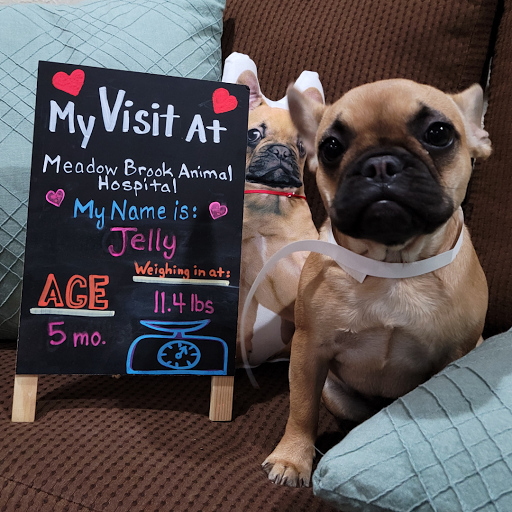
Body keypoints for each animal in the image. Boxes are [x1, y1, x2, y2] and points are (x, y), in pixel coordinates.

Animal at [224, 55, 323, 366]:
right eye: (254, 134)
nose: (281, 151)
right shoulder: (245, 285)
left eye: (302, 146)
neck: (269, 199)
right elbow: (242, 324)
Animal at [263, 79, 491, 486]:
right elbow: (302, 408)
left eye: (439, 133)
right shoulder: (309, 351)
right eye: (331, 147)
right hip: (336, 393)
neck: (393, 267)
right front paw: (292, 459)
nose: (380, 163)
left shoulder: (457, 353)